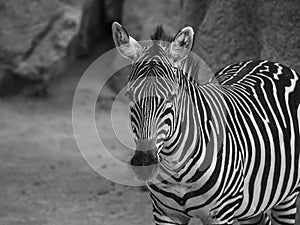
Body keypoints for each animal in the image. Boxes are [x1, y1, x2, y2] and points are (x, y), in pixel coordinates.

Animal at [111, 21, 298, 225]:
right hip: (254, 202)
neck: (176, 170)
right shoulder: (164, 213)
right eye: (130, 95)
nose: (144, 163)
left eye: (172, 96)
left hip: (288, 194)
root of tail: (268, 62)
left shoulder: (221, 213)